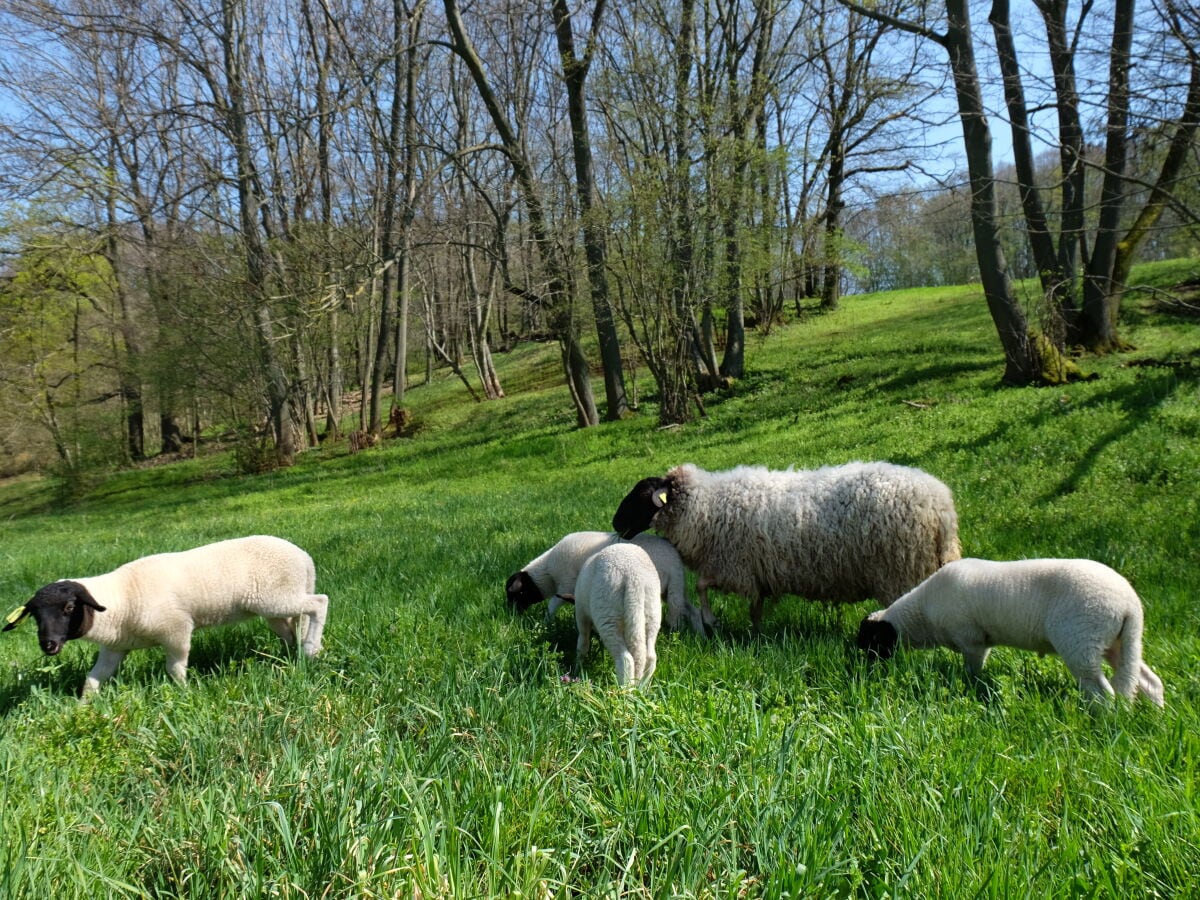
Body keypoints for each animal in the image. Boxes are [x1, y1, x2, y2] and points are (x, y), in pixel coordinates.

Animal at [2, 535, 331, 696]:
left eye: (69, 608)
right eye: (35, 616)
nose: (48, 645)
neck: (122, 598)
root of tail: (304, 557)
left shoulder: (176, 630)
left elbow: (174, 668)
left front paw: (186, 694)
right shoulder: (114, 648)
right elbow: (94, 678)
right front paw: (84, 708)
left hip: (275, 598)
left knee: (319, 602)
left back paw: (311, 649)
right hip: (275, 605)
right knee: (290, 628)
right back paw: (292, 656)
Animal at [501, 532, 705, 638]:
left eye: (515, 595)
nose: (510, 614)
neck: (548, 573)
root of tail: (675, 560)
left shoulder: (566, 584)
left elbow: (552, 605)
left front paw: (544, 623)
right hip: (672, 588)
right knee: (691, 609)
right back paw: (700, 634)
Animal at [573, 542, 662, 691]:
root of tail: (634, 576)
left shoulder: (581, 613)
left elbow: (582, 642)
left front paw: (577, 668)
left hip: (608, 614)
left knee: (625, 658)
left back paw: (624, 692)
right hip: (652, 613)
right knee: (650, 656)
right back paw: (642, 689)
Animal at [614, 460, 960, 628]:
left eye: (641, 496)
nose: (616, 524)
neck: (705, 506)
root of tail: (941, 507)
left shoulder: (733, 568)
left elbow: (700, 586)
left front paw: (711, 620)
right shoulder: (754, 574)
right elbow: (755, 605)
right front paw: (755, 630)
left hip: (900, 570)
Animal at [859, 556, 1166, 710]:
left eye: (871, 641)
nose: (863, 668)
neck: (923, 613)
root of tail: (1129, 605)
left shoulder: (972, 640)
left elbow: (972, 672)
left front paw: (972, 687)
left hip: (1082, 641)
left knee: (1103, 692)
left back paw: (1099, 721)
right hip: (1117, 643)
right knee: (1149, 681)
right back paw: (1156, 716)